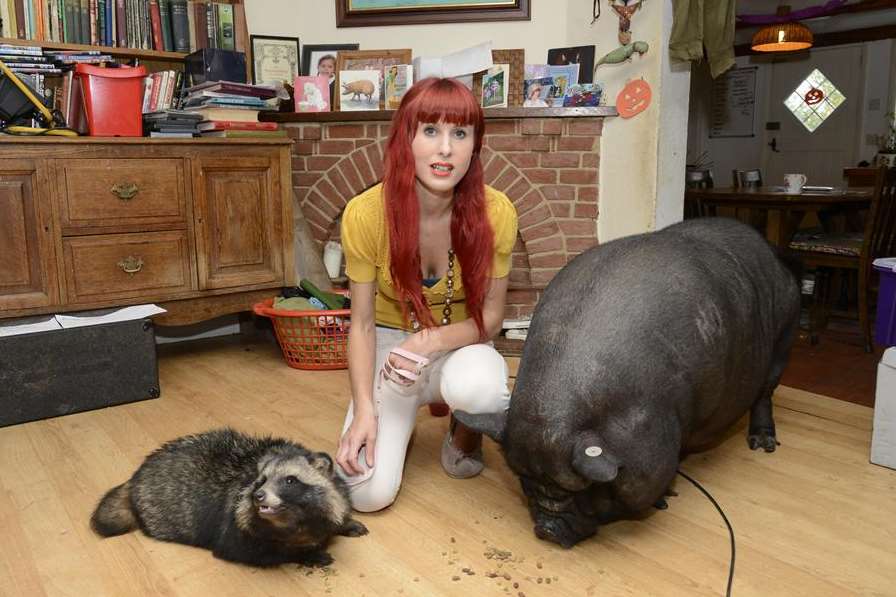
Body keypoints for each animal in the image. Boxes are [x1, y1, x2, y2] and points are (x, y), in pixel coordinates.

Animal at [91, 428, 368, 564]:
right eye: (261, 481)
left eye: (290, 480)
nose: (258, 496)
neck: (295, 521)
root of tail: (136, 476)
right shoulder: (235, 526)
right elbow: (257, 552)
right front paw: (305, 554)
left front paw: (343, 523)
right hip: (158, 510)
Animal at [458, 218, 800, 544]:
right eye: (525, 480)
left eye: (587, 489)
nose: (547, 529)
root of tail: (772, 253)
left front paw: (665, 498)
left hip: (784, 337)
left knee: (765, 395)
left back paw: (764, 446)